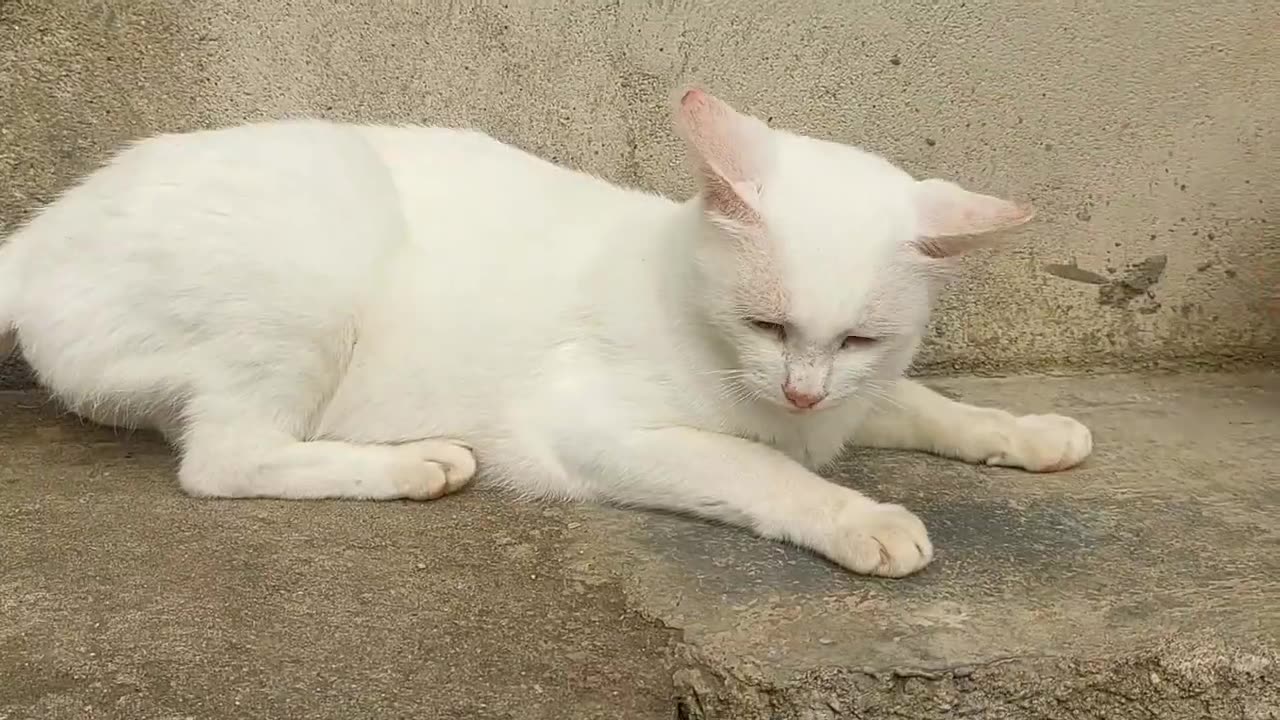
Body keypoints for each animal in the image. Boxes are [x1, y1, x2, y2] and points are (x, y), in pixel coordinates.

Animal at [0, 89, 1090, 573]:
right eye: (766, 323)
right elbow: (764, 473)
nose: (800, 390)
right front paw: (857, 517)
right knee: (224, 460)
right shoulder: (598, 427)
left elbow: (924, 404)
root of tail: (38, 232)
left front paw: (1027, 432)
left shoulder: (855, 398)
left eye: (858, 340)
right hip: (317, 233)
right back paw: (413, 463)